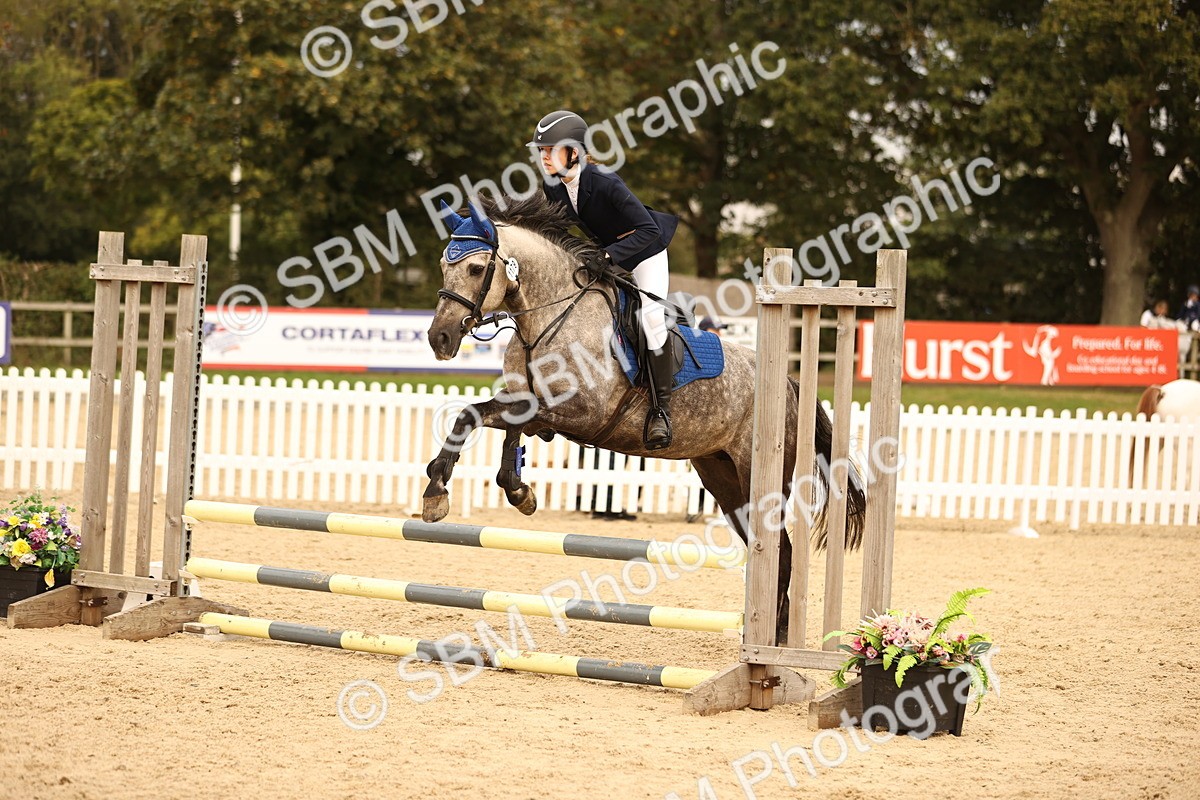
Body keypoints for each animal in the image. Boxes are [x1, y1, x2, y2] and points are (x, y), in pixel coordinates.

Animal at [422, 194, 867, 645]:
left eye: (477, 269)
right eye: (444, 265)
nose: (439, 339)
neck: (549, 320)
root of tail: (790, 384)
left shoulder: (584, 414)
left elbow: (499, 418)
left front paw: (486, 491)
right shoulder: (528, 404)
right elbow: (484, 419)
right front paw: (464, 490)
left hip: (761, 476)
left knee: (782, 550)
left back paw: (773, 640)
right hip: (722, 478)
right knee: (774, 548)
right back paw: (771, 635)